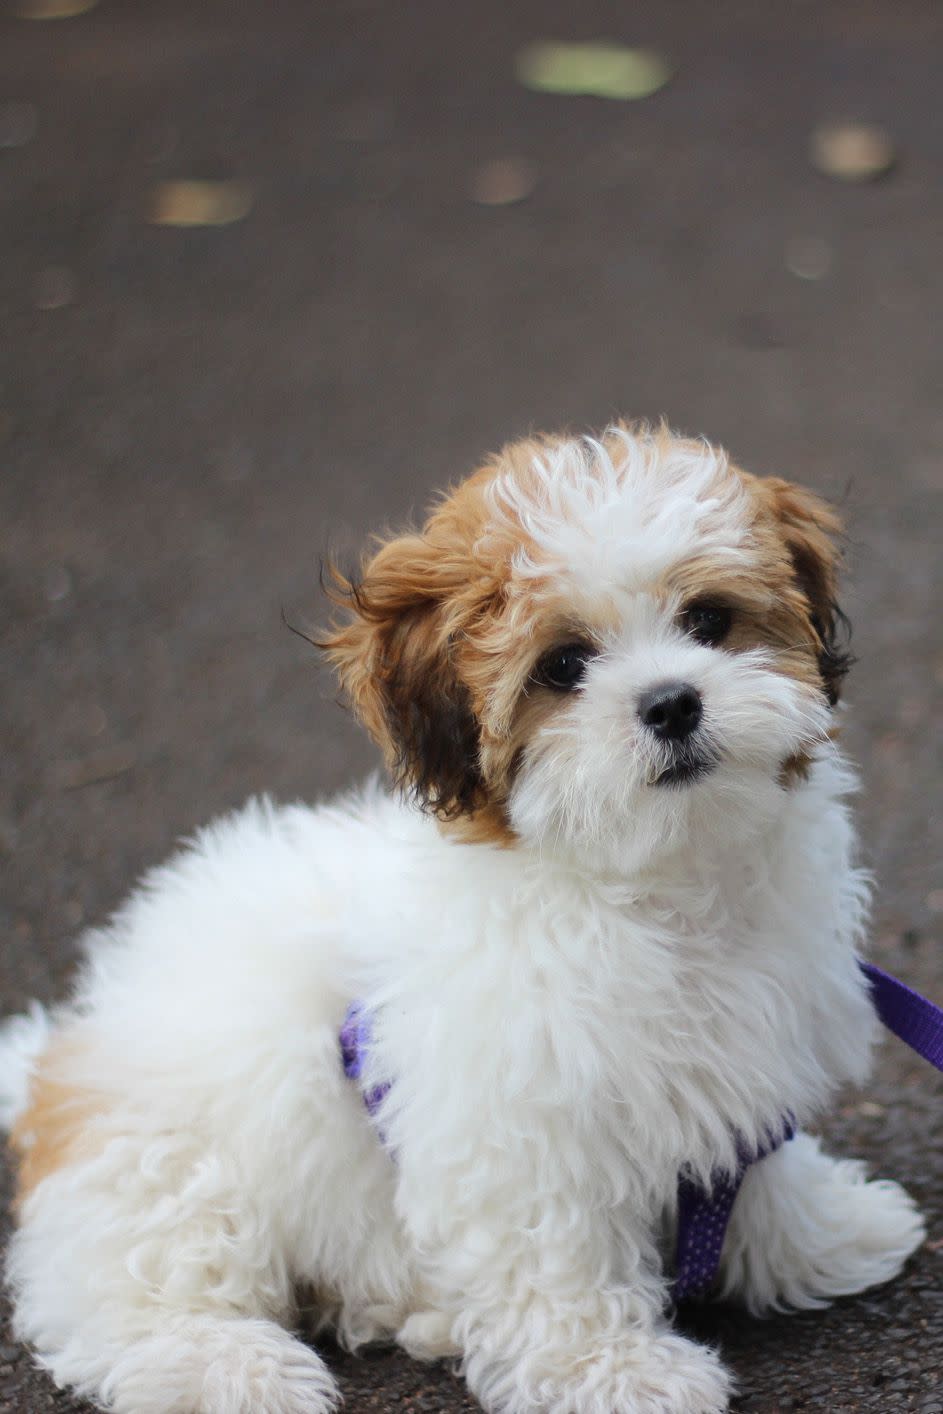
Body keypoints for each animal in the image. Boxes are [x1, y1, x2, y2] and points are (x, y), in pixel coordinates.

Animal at [0, 421, 927, 1414]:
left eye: (708, 621)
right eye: (563, 666)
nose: (673, 701)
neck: (653, 886)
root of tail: (55, 1063)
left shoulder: (744, 1058)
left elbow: (753, 1171)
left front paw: (823, 1231)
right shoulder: (517, 1123)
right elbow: (554, 1256)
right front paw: (610, 1368)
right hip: (167, 1172)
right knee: (131, 1297)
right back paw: (227, 1365)